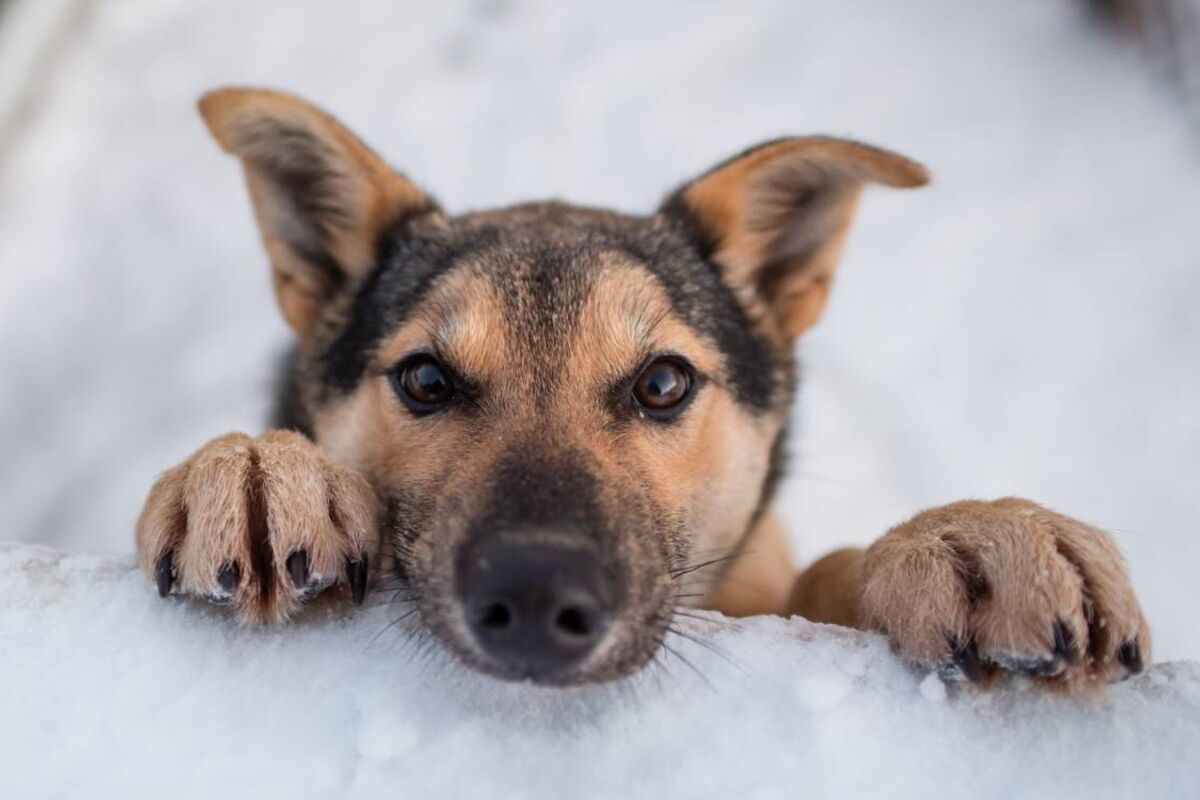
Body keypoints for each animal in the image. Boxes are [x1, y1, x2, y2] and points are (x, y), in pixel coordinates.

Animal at [131, 87, 1142, 690]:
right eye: (424, 378)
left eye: (663, 382)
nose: (536, 601)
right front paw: (256, 472)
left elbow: (823, 574)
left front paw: (969, 538)